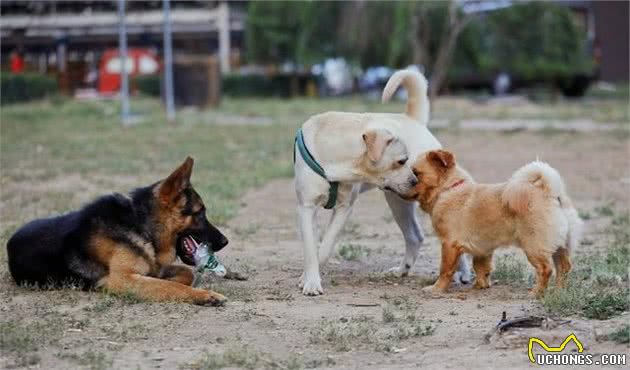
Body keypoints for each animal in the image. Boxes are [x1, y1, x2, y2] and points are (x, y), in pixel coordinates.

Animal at [6, 158, 228, 304]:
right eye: (201, 213)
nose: (225, 241)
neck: (141, 225)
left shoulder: (151, 268)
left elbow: (184, 274)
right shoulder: (121, 279)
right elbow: (171, 286)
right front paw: (205, 295)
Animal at [296, 69, 474, 294]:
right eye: (401, 161)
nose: (415, 179)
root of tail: (413, 119)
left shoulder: (345, 208)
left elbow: (325, 247)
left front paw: (308, 278)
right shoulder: (306, 207)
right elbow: (311, 248)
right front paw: (310, 281)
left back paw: (463, 273)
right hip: (398, 202)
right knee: (415, 236)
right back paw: (402, 270)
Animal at [408, 149, 584, 296]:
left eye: (416, 174)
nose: (407, 180)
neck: (449, 189)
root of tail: (551, 192)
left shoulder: (449, 245)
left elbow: (445, 270)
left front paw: (437, 289)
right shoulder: (482, 249)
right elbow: (480, 267)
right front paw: (481, 285)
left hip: (534, 247)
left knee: (545, 269)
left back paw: (536, 293)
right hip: (561, 246)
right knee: (564, 267)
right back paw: (559, 291)